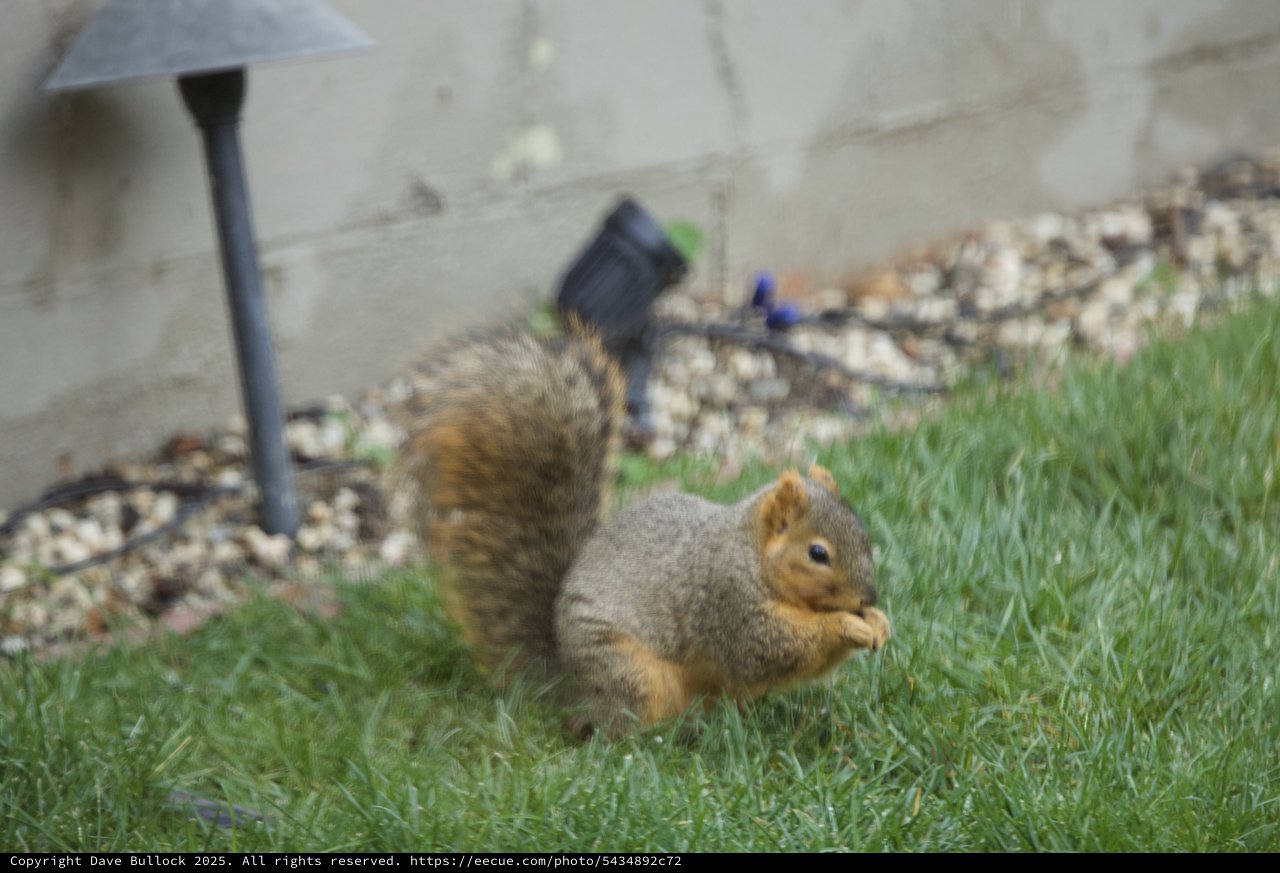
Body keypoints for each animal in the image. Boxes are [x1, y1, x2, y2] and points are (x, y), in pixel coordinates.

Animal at [399, 322, 890, 736]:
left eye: (863, 535)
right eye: (818, 553)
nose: (868, 598)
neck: (748, 552)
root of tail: (569, 688)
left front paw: (878, 623)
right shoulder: (725, 601)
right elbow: (768, 650)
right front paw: (846, 626)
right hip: (627, 669)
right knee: (621, 724)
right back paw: (663, 737)